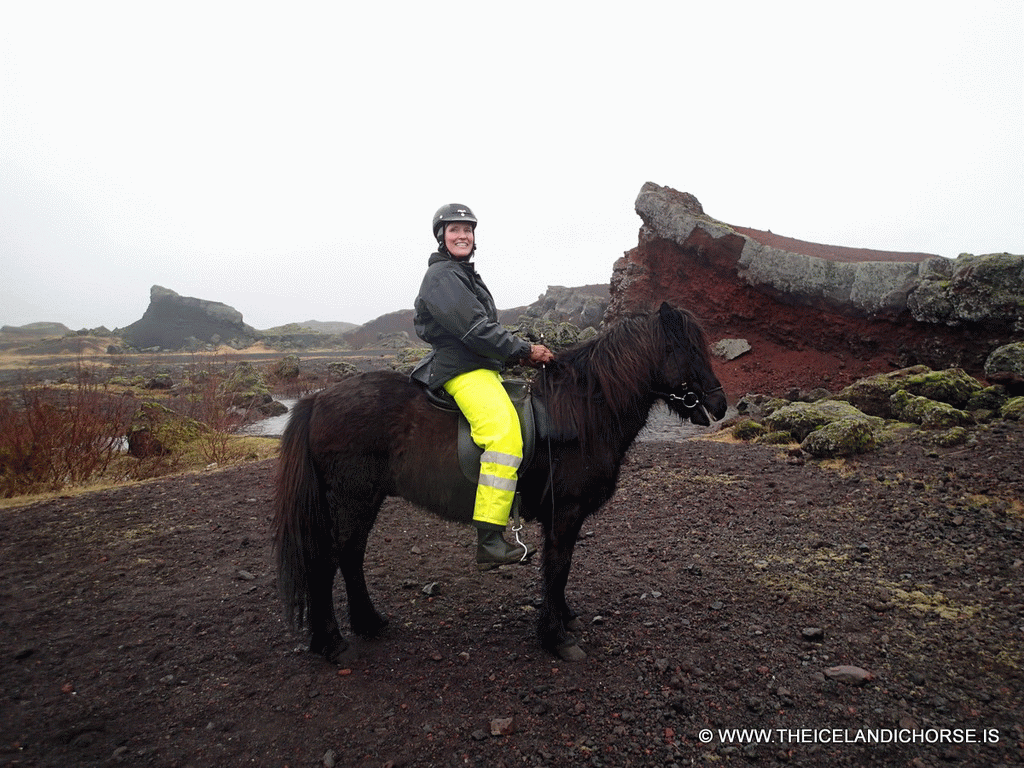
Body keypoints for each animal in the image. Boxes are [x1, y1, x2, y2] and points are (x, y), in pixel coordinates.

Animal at [276, 303, 729, 663]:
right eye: (690, 349)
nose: (720, 403)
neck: (581, 410)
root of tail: (318, 398)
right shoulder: (565, 514)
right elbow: (559, 568)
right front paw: (557, 637)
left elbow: (557, 570)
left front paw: (563, 618)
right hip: (352, 499)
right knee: (330, 560)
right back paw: (332, 642)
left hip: (364, 501)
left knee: (350, 557)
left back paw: (369, 623)